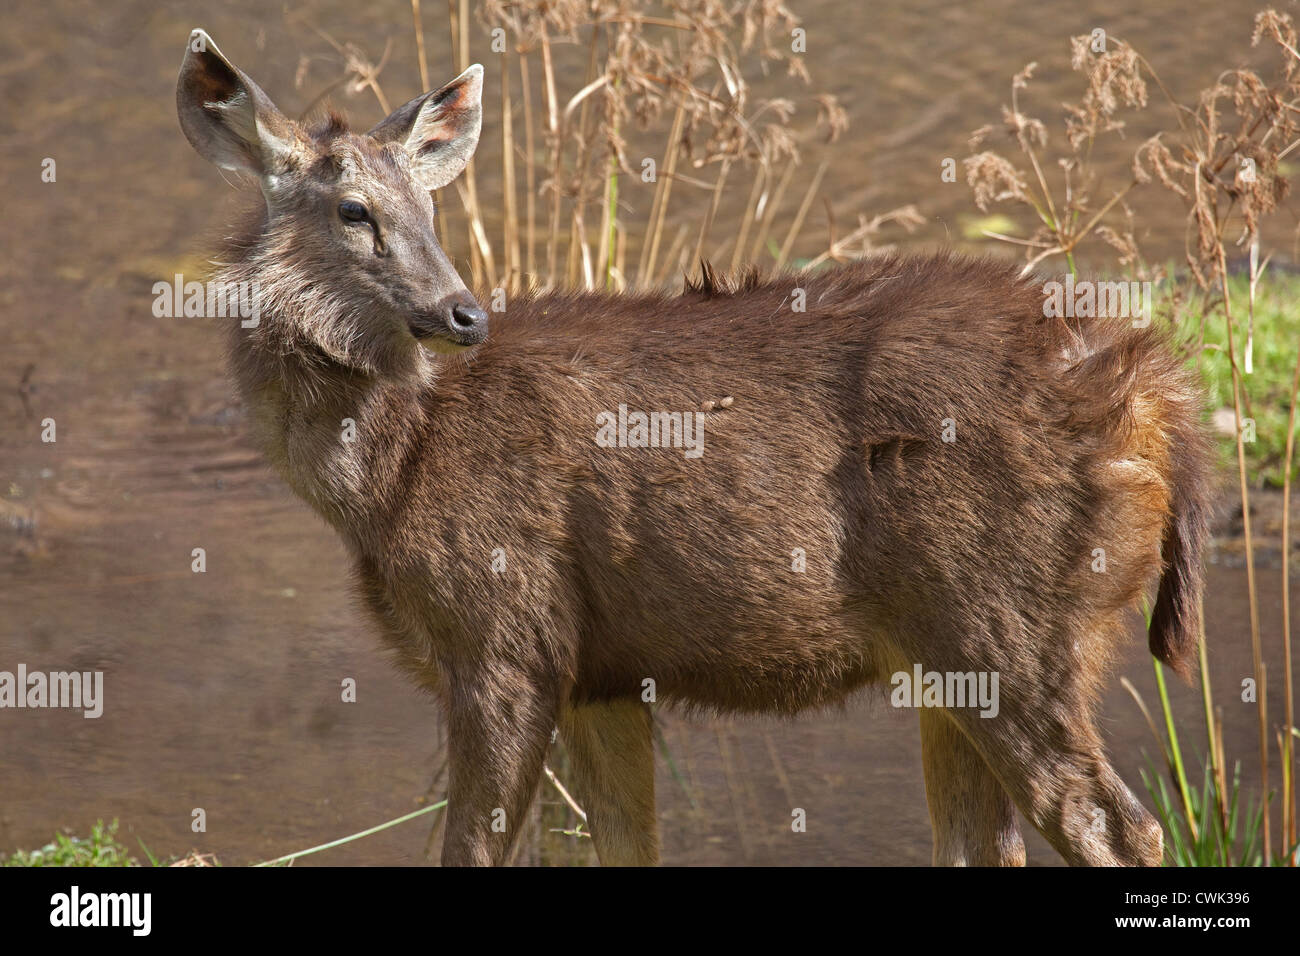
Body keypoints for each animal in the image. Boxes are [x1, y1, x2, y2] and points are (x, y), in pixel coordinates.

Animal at [178, 27, 1211, 868]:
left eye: (430, 211)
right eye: (353, 210)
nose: (464, 312)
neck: (389, 479)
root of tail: (1156, 395)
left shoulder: (510, 637)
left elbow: (470, 848)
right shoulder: (599, 674)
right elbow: (627, 847)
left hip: (1010, 625)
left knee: (1116, 827)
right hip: (956, 657)